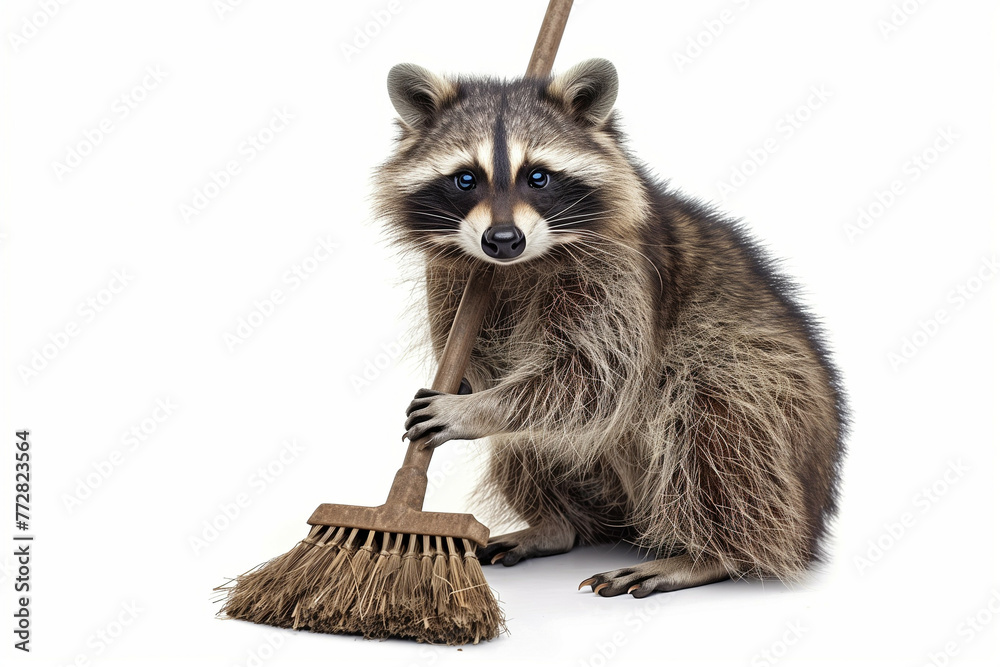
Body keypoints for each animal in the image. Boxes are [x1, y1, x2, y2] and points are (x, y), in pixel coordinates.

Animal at [379, 59, 847, 597]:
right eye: (465, 179)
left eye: (538, 177)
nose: (503, 240)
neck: (520, 265)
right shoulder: (451, 275)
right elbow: (481, 357)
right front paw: (468, 382)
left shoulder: (621, 268)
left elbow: (595, 377)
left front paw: (474, 410)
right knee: (526, 447)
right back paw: (555, 525)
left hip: (772, 389)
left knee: (714, 417)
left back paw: (709, 554)